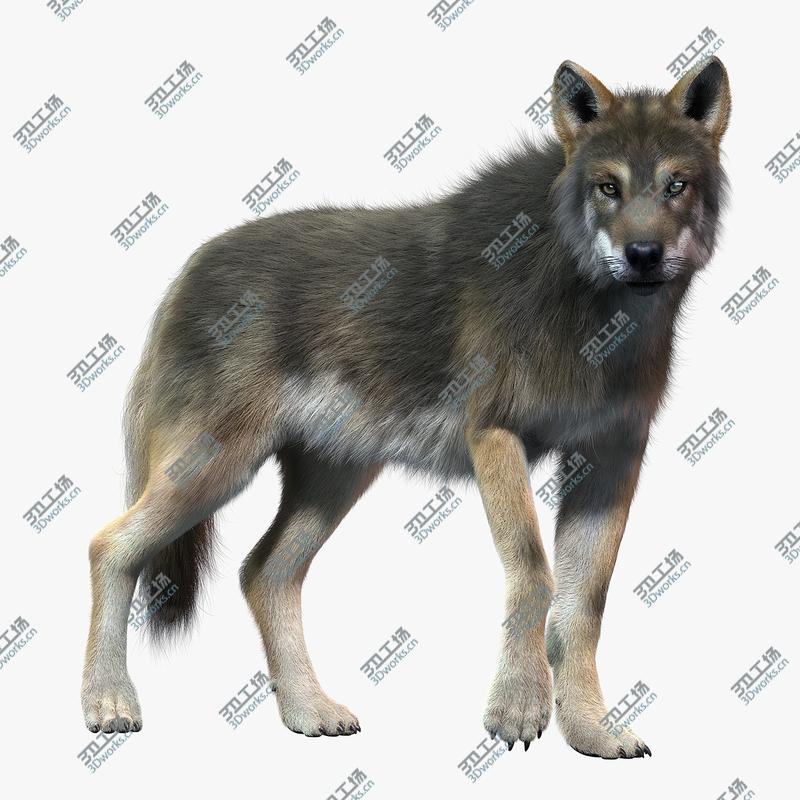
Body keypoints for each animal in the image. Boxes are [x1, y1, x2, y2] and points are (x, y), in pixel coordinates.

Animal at [81, 56, 730, 759]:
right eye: (609, 187)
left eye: (676, 185)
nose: (643, 256)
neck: (593, 316)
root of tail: (186, 273)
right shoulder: (496, 435)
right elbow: (536, 574)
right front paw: (518, 711)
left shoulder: (612, 458)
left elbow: (584, 606)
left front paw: (592, 733)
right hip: (217, 469)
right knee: (110, 546)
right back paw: (108, 703)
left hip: (332, 482)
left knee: (263, 573)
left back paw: (307, 712)